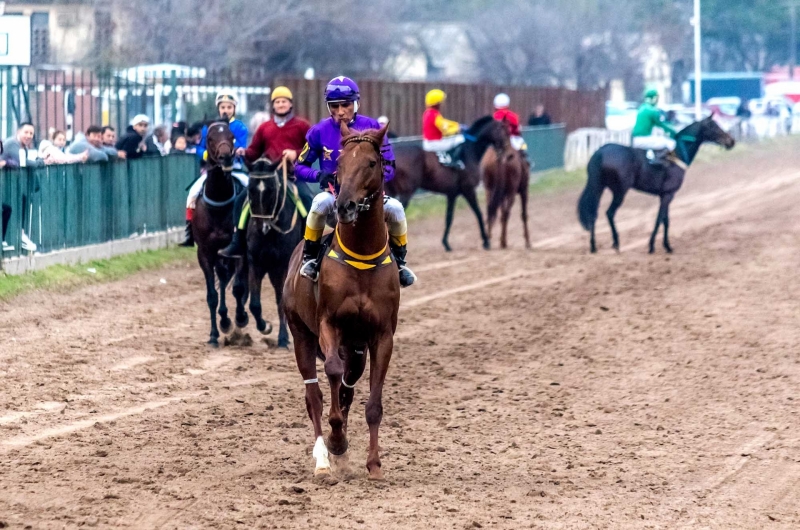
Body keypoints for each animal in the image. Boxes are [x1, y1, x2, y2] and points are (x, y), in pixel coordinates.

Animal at [239, 157, 304, 346]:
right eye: (250, 190)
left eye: (271, 190)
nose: (262, 226)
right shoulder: (255, 262)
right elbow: (254, 303)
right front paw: (265, 326)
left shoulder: (282, 266)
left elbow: (281, 300)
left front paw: (283, 337)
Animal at [284, 121, 404, 476]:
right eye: (338, 163)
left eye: (372, 163)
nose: (345, 205)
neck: (361, 257)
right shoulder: (329, 322)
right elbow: (333, 372)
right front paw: (336, 441)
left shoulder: (381, 335)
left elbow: (372, 402)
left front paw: (373, 463)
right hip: (301, 334)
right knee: (314, 395)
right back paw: (324, 458)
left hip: (356, 345)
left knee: (349, 383)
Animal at [386, 115, 506, 252]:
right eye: (501, 129)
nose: (505, 147)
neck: (468, 152)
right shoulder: (468, 190)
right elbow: (478, 213)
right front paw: (486, 241)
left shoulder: (452, 194)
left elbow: (449, 218)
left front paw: (446, 243)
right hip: (406, 192)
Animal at [576, 117, 736, 254]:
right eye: (714, 126)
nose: (731, 141)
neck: (677, 154)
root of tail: (600, 152)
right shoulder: (668, 194)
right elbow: (660, 219)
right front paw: (654, 245)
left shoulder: (665, 195)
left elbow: (665, 220)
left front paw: (666, 246)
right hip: (620, 191)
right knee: (609, 213)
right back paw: (616, 243)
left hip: (598, 187)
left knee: (593, 214)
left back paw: (593, 246)